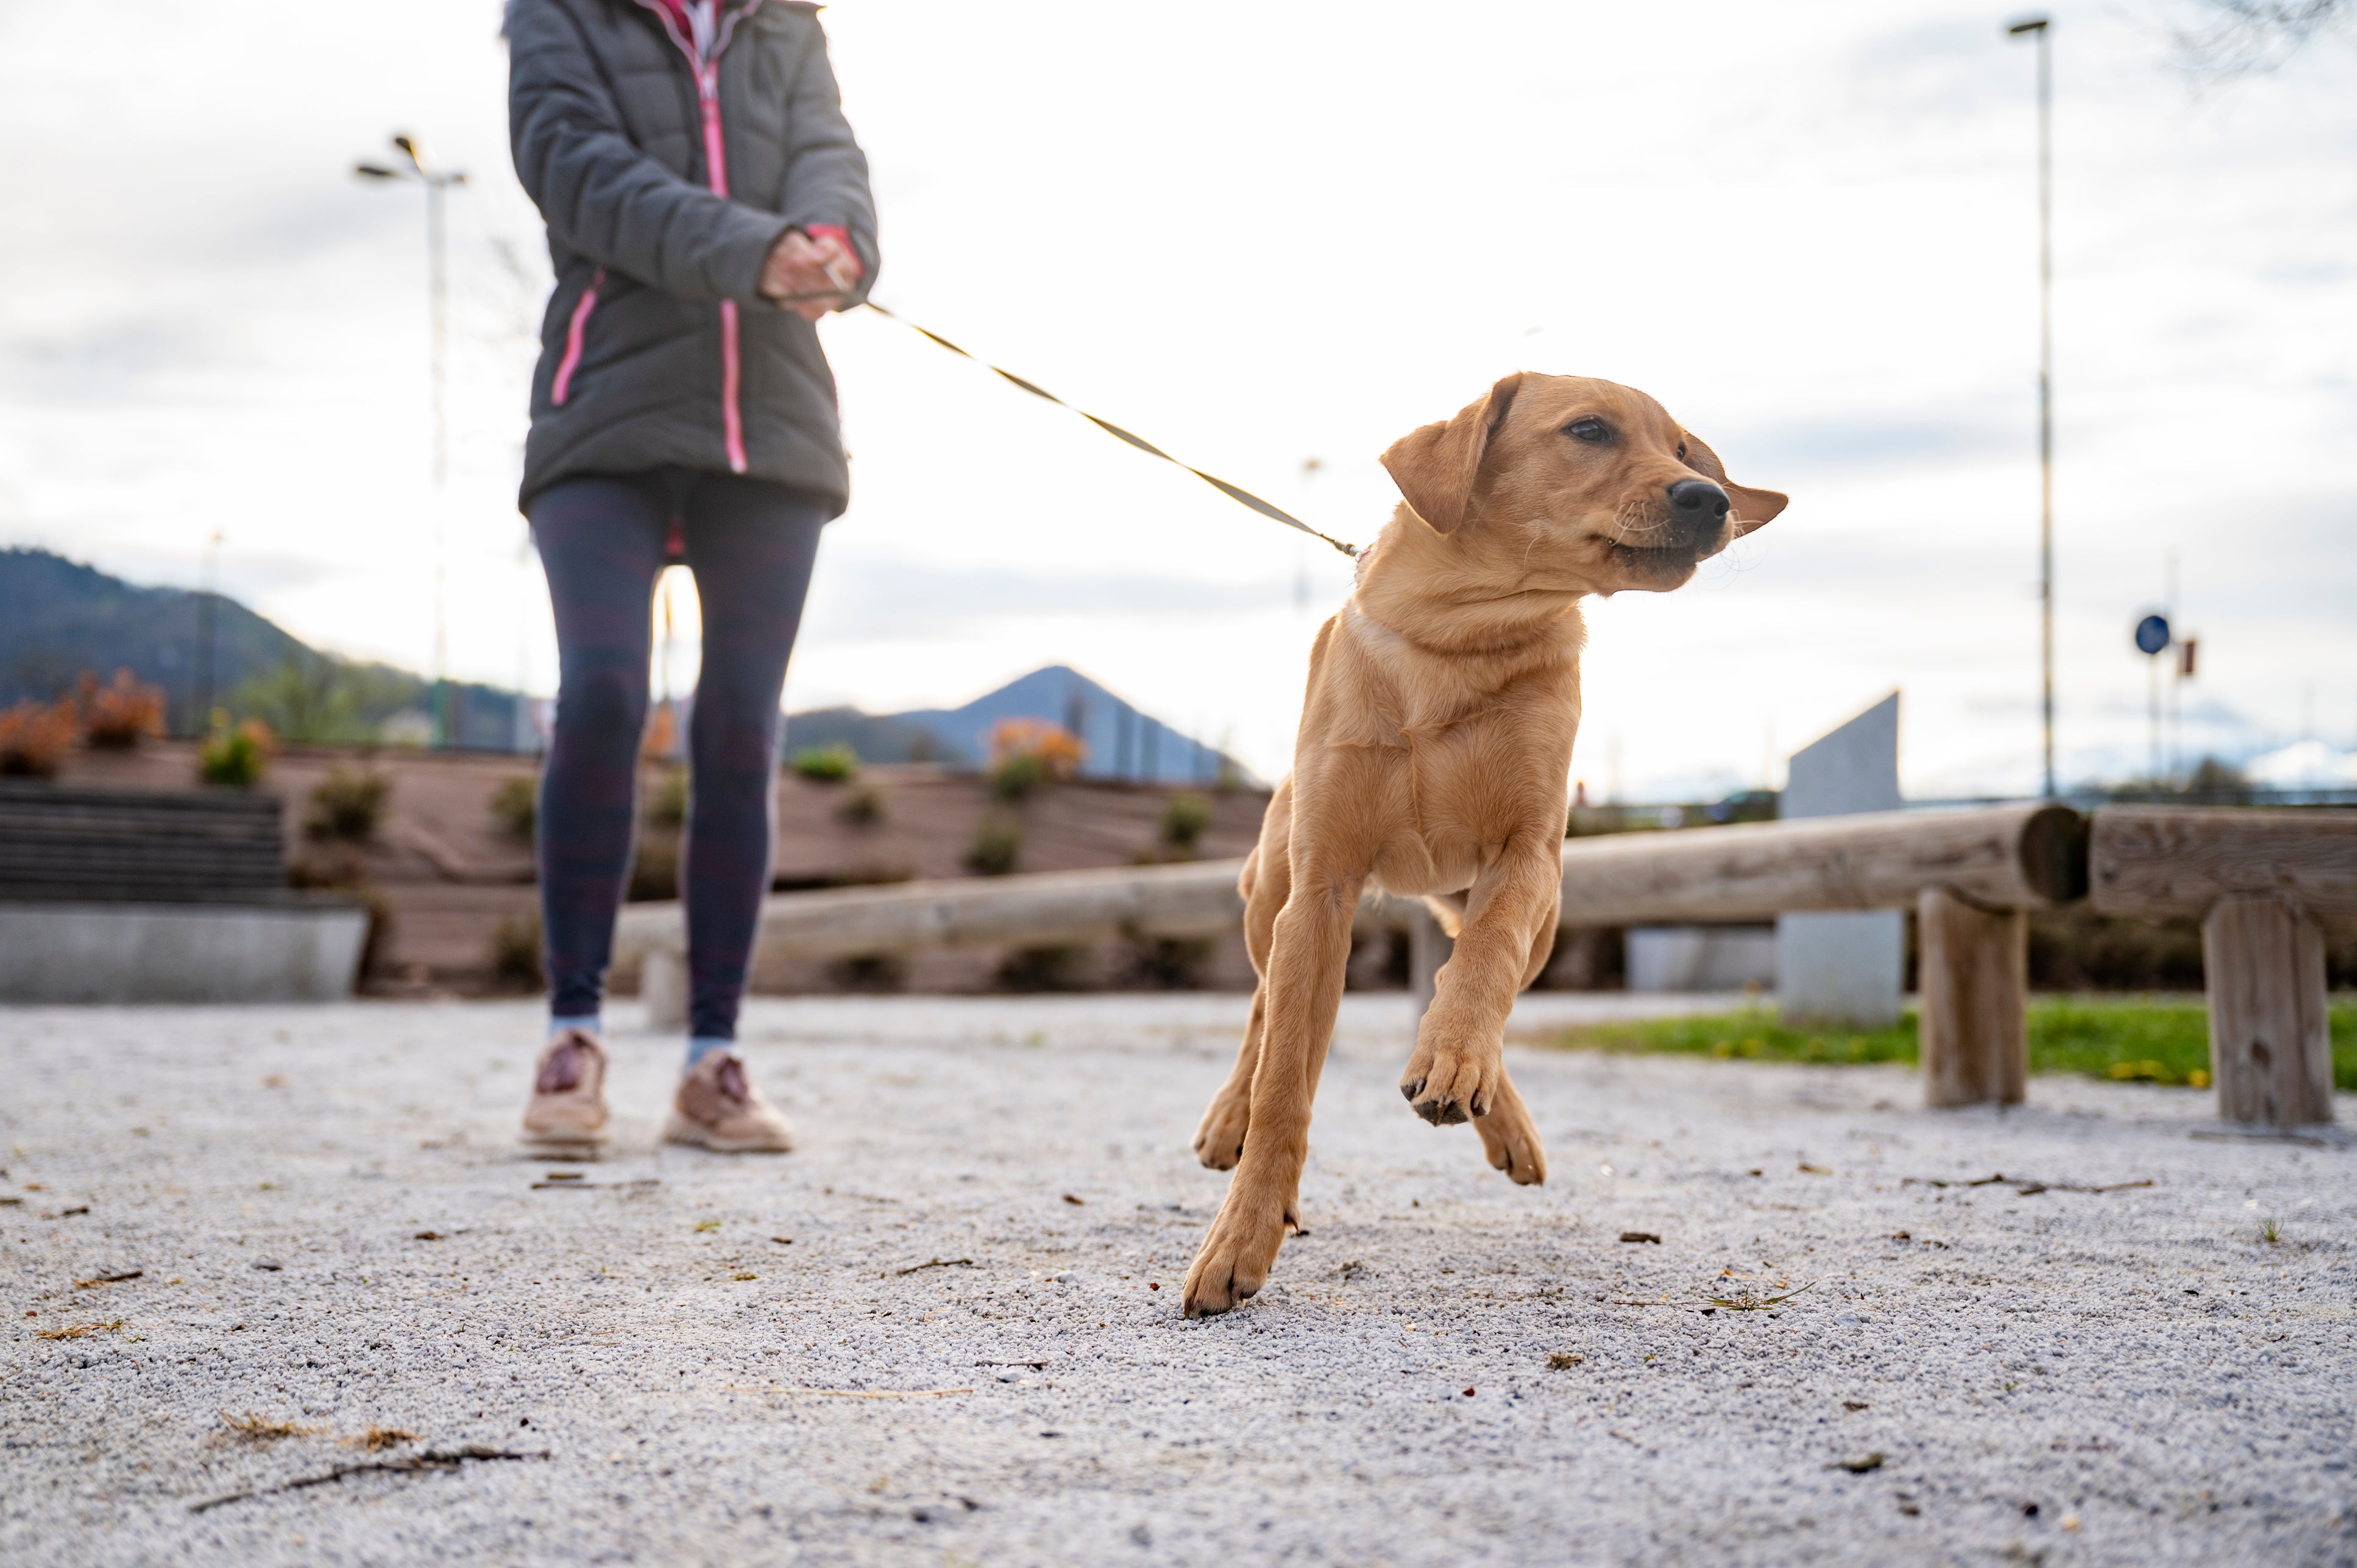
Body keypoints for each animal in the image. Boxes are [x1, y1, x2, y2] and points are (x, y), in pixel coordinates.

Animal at [1188, 372, 1772, 1311]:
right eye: (1590, 430)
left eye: (1683, 449)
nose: (1710, 499)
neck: (1457, 639)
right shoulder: (1320, 891)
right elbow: (1285, 1086)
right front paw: (1241, 1234)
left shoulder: (1526, 858)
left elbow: (1482, 966)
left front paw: (1456, 1058)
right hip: (1268, 898)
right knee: (1262, 1007)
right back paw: (1230, 1117)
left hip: (1543, 918)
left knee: (1464, 973)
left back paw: (1489, 1104)